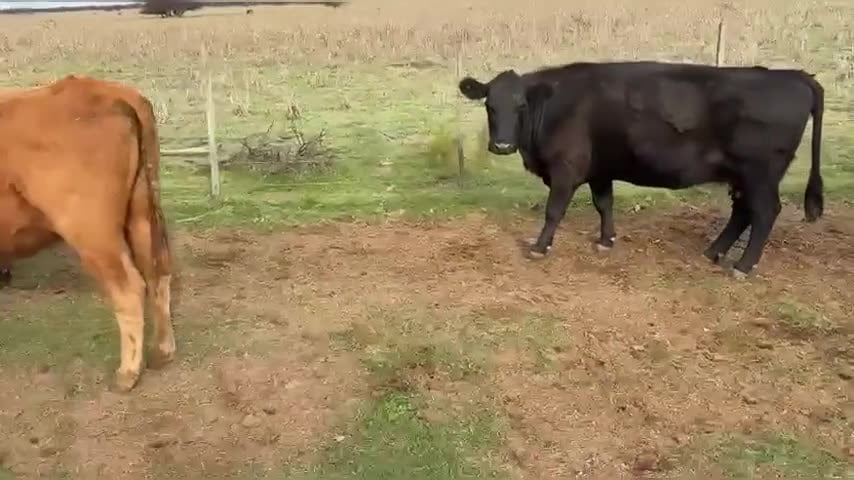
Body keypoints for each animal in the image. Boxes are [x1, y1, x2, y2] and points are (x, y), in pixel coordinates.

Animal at [0, 75, 175, 392]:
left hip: (93, 233)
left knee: (129, 288)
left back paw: (128, 373)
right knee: (159, 273)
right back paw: (163, 352)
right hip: (142, 215)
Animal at [458, 61, 824, 278]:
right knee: (743, 212)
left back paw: (743, 266)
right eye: (490, 105)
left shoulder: (566, 169)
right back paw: (713, 252)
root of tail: (794, 75)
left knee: (764, 212)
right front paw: (606, 240)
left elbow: (554, 211)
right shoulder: (600, 170)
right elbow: (604, 204)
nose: (502, 145)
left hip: (760, 174)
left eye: (521, 105)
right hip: (741, 175)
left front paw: (539, 247)